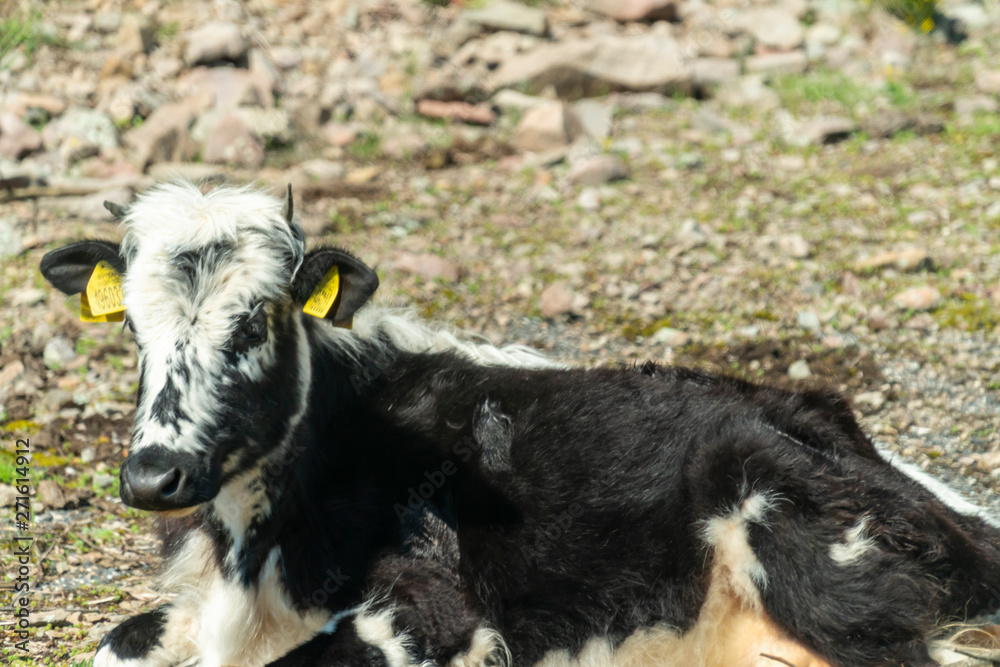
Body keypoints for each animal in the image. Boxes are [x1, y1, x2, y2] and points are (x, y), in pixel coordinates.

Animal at [40, 181, 1000, 667]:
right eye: (132, 329)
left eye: (254, 322)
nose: (153, 475)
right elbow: (115, 645)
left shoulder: (434, 611)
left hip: (801, 535)